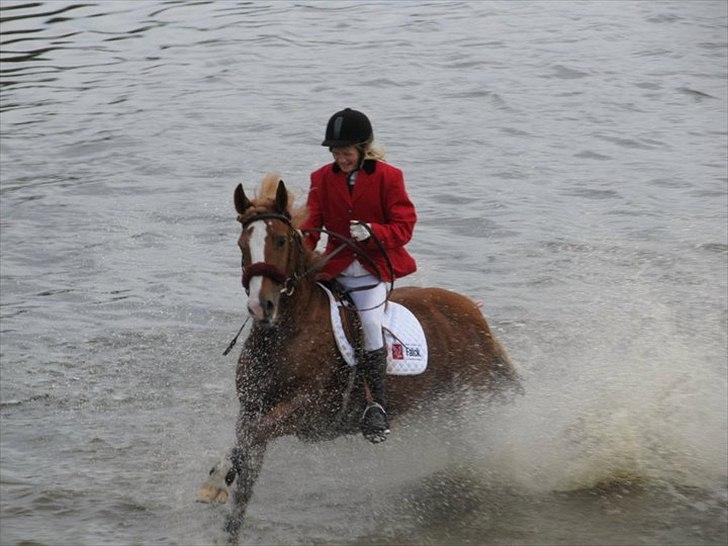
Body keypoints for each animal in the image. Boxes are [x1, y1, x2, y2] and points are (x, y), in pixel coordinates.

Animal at [196, 174, 520, 540]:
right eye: (242, 245)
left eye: (280, 240)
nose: (260, 307)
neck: (288, 334)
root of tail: (473, 313)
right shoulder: (252, 408)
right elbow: (246, 463)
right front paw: (224, 497)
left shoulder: (306, 410)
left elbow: (251, 439)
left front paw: (215, 480)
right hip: (449, 408)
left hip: (475, 399)